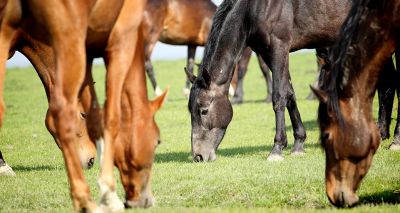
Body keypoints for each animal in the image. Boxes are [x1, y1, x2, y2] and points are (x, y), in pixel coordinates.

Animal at [0, 0, 166, 211]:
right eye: (157, 141)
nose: (90, 161)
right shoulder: (120, 42)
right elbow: (111, 117)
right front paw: (109, 194)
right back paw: (86, 201)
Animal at [186, 0, 352, 161]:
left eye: (204, 110)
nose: (198, 156)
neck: (256, 7)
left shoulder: (279, 47)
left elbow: (278, 96)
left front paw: (277, 149)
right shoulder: (267, 53)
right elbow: (289, 94)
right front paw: (298, 144)